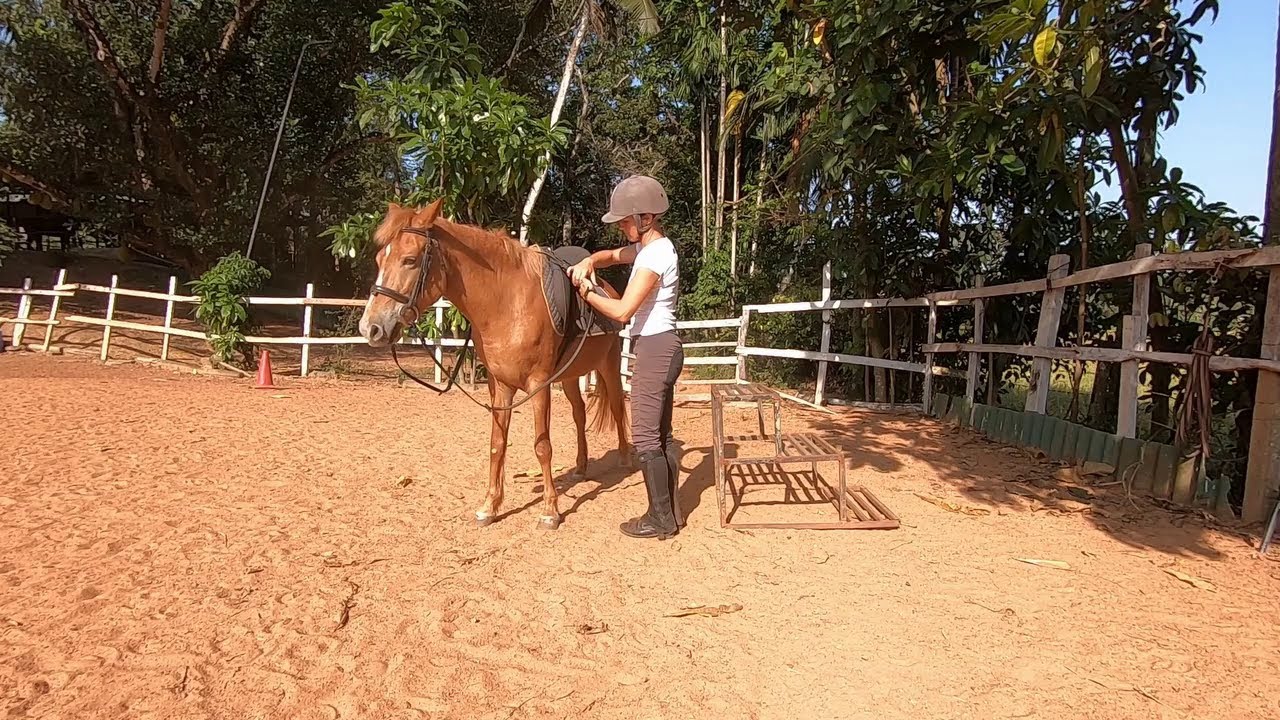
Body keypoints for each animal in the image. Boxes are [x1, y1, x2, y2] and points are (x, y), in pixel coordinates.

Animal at [358, 199, 633, 530]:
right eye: (379, 258)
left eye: (410, 260)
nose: (370, 328)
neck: (508, 303)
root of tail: (610, 290)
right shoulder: (500, 385)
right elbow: (497, 443)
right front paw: (490, 506)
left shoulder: (538, 385)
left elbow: (542, 446)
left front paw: (550, 511)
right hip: (569, 376)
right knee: (579, 413)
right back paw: (581, 467)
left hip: (609, 364)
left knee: (617, 405)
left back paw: (625, 459)